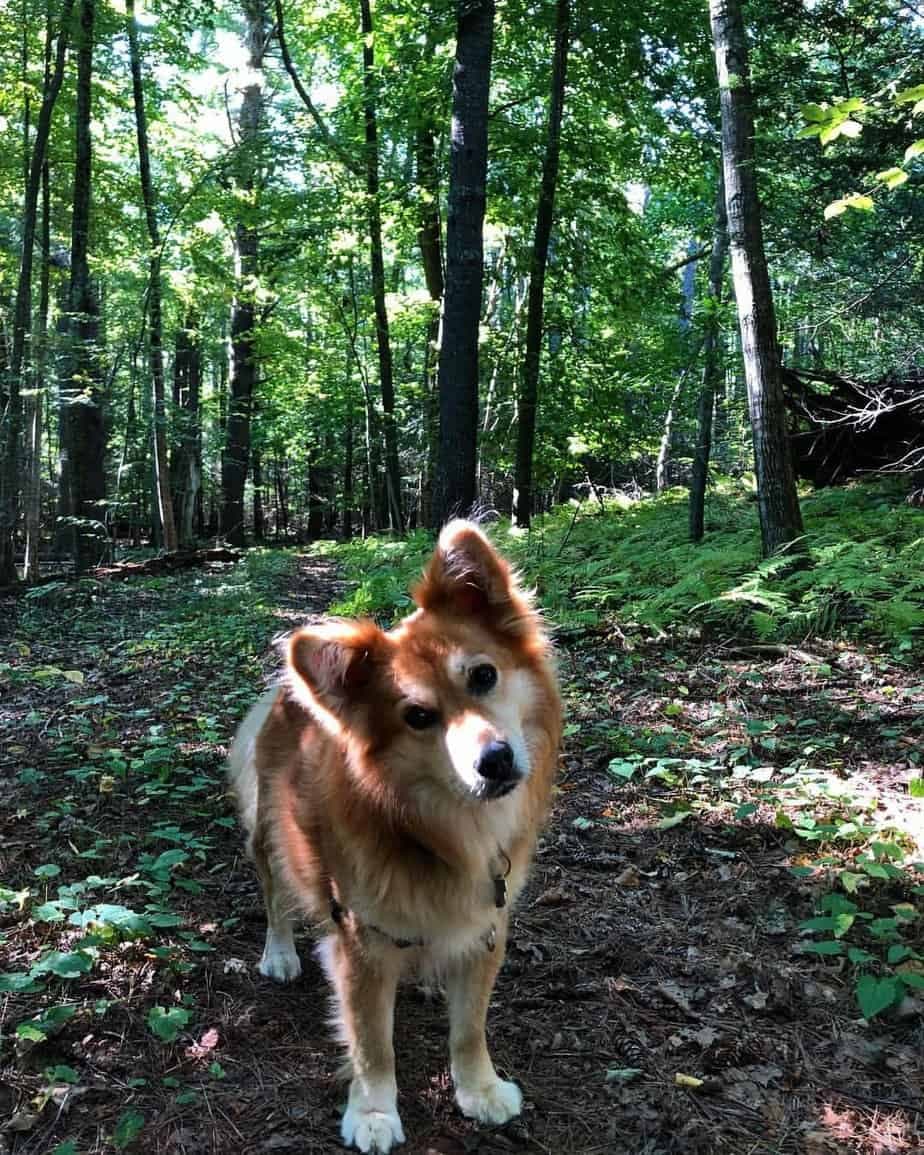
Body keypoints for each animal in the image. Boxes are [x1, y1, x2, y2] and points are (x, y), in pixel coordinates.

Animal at [228, 524, 563, 1155]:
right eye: (417, 717)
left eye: (483, 676)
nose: (494, 761)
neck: (438, 832)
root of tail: (287, 691)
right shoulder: (361, 942)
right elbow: (371, 1042)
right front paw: (374, 1112)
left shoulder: (488, 926)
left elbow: (470, 1026)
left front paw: (479, 1087)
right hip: (271, 837)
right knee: (274, 896)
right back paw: (279, 951)